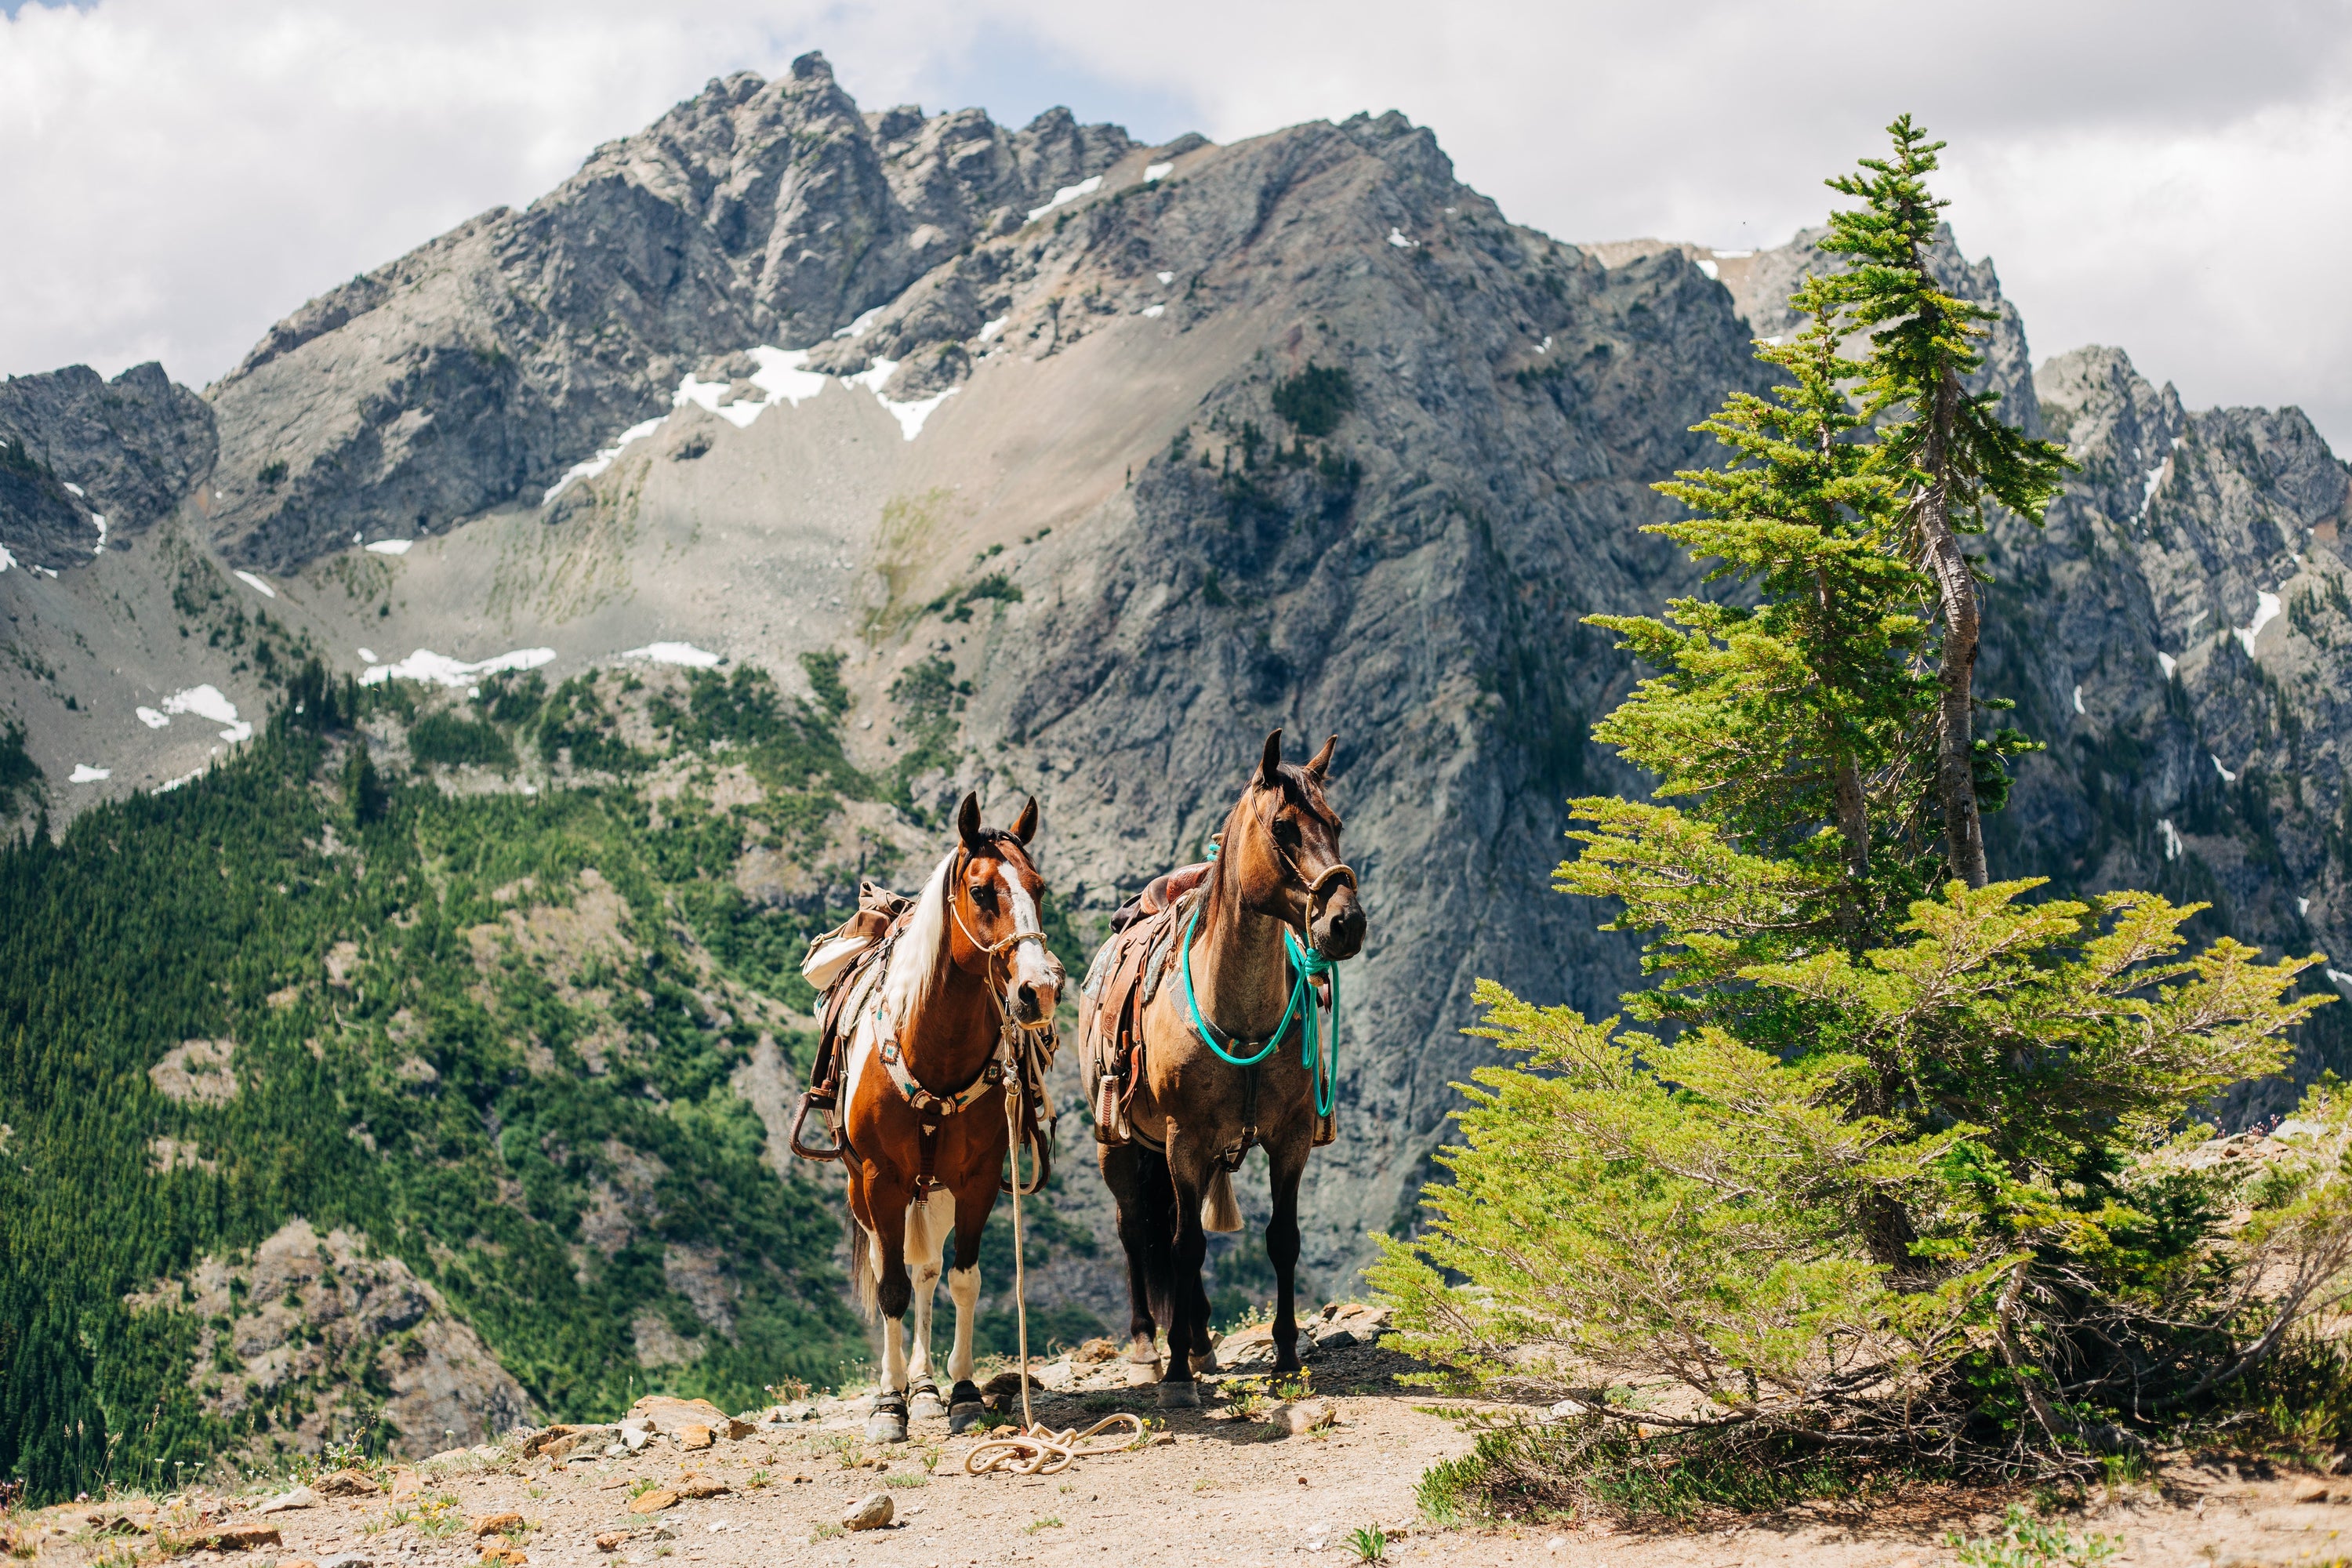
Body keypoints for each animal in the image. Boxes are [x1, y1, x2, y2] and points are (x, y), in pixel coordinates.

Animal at [842, 789, 1063, 1439]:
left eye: (1039, 887)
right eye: (983, 891)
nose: (1040, 989)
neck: (932, 1047)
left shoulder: (977, 1178)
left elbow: (964, 1279)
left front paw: (962, 1393)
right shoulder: (881, 1180)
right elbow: (889, 1289)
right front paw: (888, 1408)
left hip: (933, 1190)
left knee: (927, 1271)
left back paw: (924, 1387)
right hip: (867, 1192)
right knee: (894, 1268)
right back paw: (899, 1389)